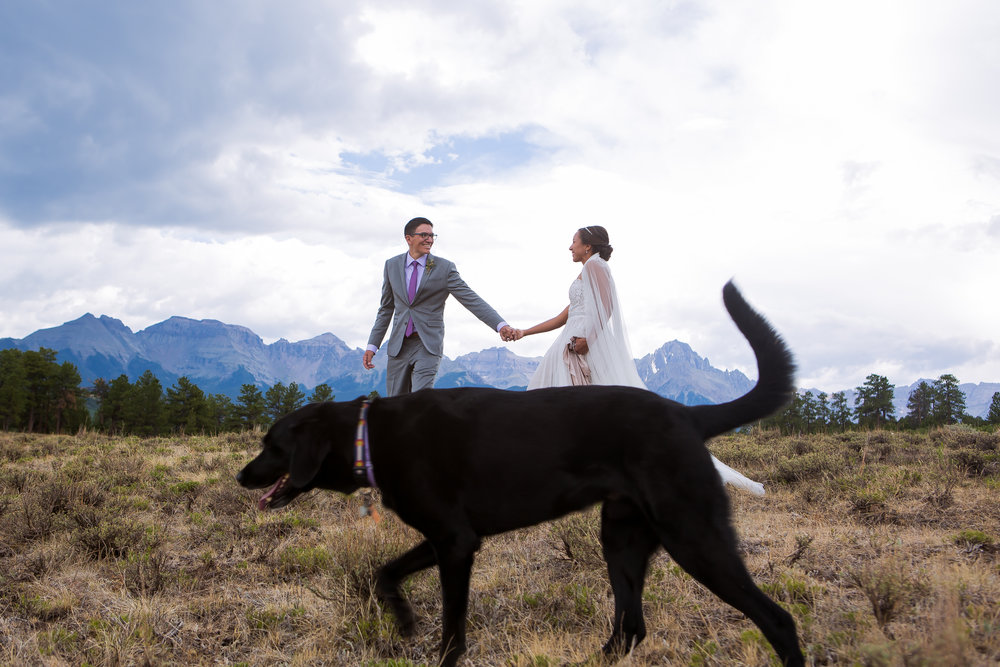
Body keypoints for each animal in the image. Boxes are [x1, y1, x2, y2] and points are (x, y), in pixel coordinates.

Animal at [236, 284, 804, 667]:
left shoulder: (456, 543)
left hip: (693, 536)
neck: (370, 433)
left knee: (777, 619)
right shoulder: (446, 538)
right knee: (631, 627)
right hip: (621, 538)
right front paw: (403, 620)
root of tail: (688, 414)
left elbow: (453, 629)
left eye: (272, 444)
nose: (242, 477)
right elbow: (385, 573)